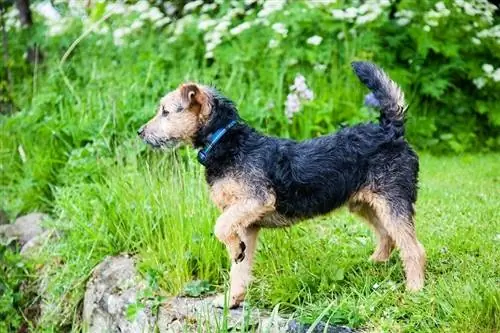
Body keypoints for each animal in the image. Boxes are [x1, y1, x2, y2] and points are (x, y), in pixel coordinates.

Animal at [138, 61, 426, 306]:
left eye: (165, 111)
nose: (140, 132)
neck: (225, 141)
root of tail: (391, 130)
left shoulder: (255, 200)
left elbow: (220, 227)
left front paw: (233, 254)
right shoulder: (247, 224)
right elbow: (239, 268)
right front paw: (233, 298)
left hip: (392, 204)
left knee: (414, 249)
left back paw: (415, 290)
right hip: (366, 205)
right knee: (389, 237)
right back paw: (374, 265)